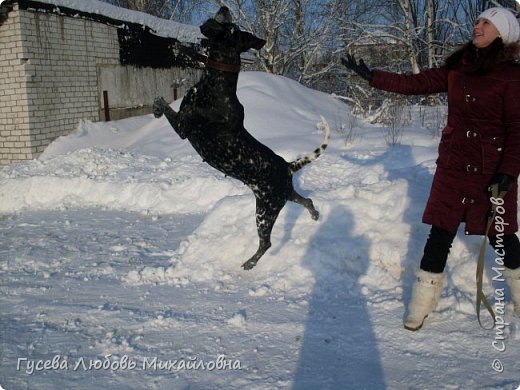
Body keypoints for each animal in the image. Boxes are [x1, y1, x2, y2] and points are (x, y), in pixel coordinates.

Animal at [152, 6, 330, 270]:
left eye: (231, 28)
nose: (224, 8)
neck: (216, 81)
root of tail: (288, 166)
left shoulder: (183, 127)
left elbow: (164, 104)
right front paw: (178, 49)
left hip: (264, 212)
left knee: (266, 243)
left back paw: (250, 263)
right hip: (283, 198)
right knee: (307, 200)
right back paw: (315, 215)